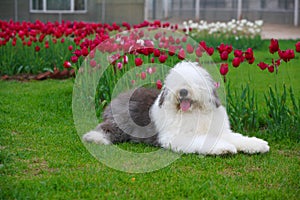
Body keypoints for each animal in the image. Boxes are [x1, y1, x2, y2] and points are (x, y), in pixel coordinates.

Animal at [83, 61, 270, 155]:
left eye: (194, 81)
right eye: (175, 82)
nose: (183, 91)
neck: (195, 113)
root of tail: (117, 97)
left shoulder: (220, 131)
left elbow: (237, 137)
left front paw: (258, 145)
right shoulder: (177, 137)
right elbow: (205, 141)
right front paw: (224, 148)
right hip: (121, 122)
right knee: (106, 129)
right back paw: (95, 137)